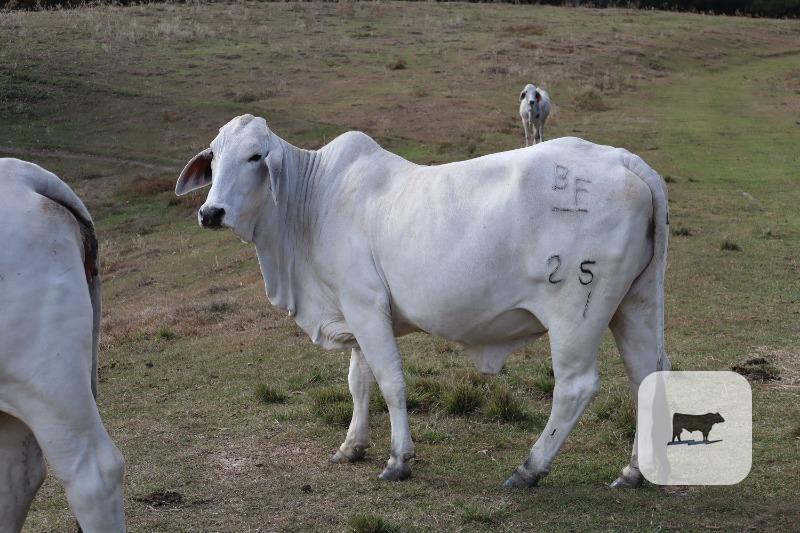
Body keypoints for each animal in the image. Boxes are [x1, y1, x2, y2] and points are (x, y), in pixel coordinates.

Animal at [175, 114, 670, 489]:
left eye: (256, 156)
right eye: (214, 156)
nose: (210, 212)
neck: (311, 204)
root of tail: (622, 159)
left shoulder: (365, 305)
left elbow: (390, 382)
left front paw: (398, 459)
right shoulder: (355, 312)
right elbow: (359, 381)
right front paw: (351, 446)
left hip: (575, 314)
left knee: (574, 387)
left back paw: (529, 468)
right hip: (636, 305)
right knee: (646, 374)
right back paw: (633, 471)